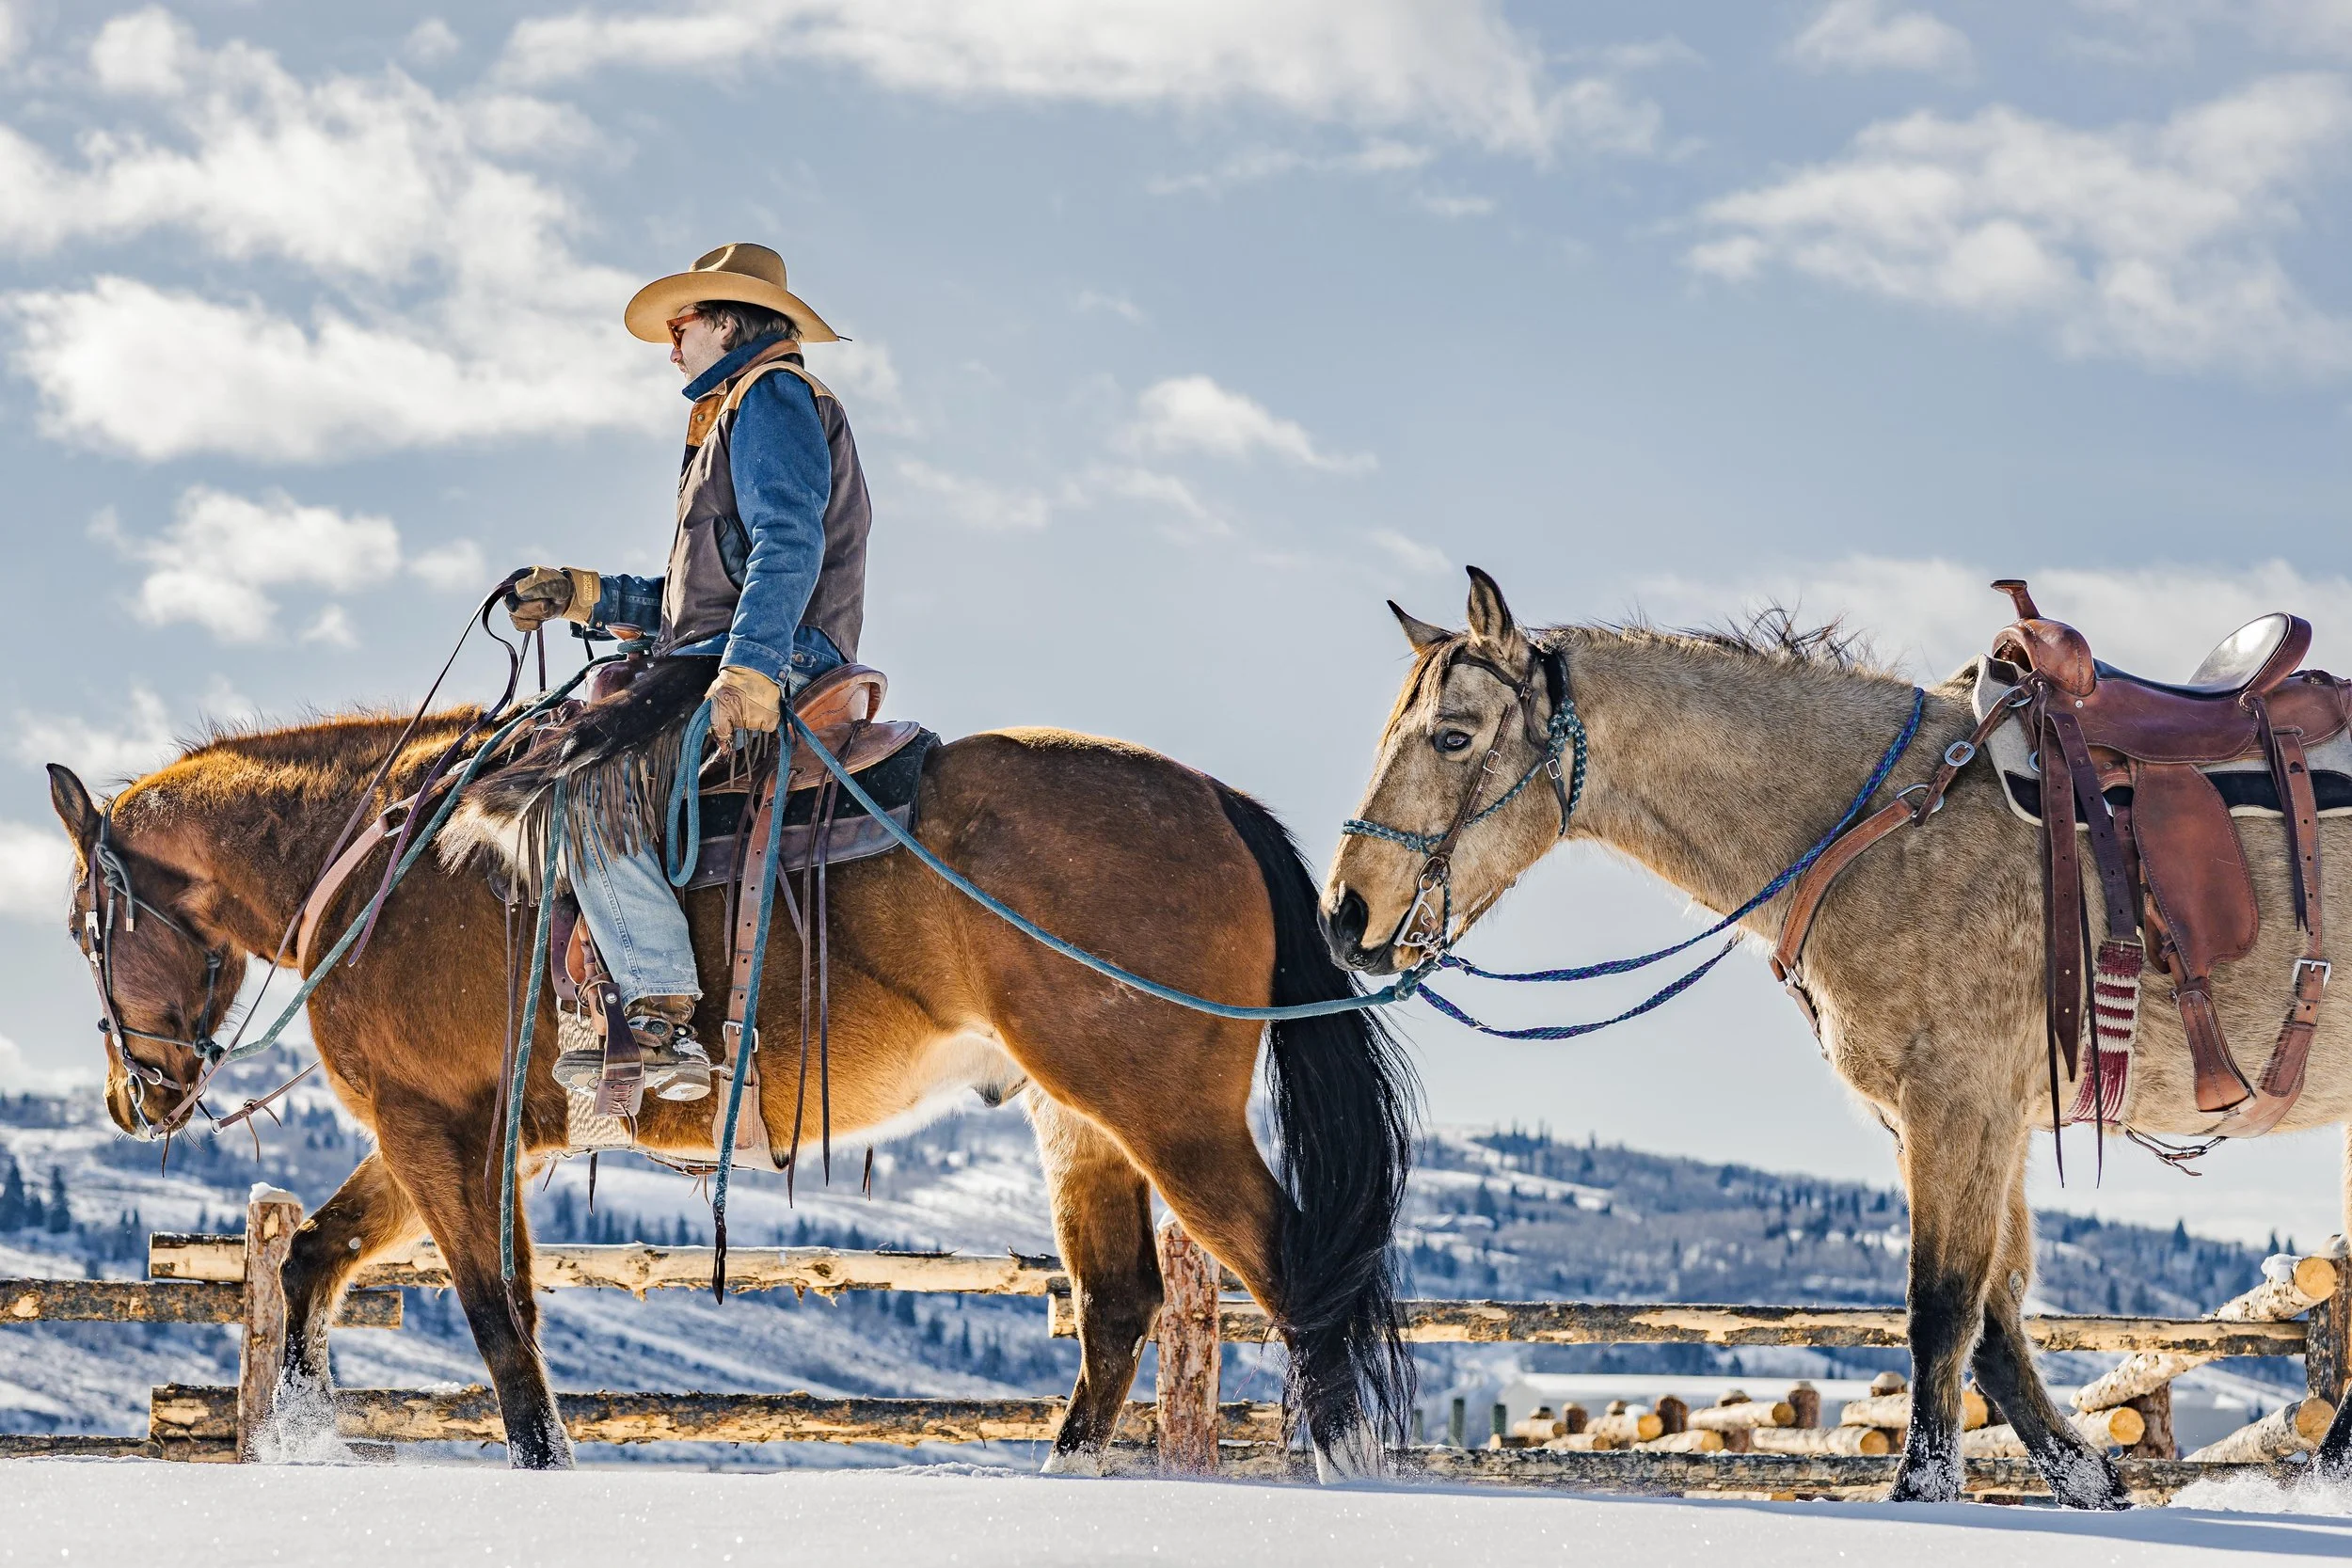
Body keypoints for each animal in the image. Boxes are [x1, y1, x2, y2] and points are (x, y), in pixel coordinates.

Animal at [46, 706, 1415, 1473]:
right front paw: (300, 1428)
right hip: (1079, 1118)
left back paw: (1343, 1467)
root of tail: (1214, 802)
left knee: (1291, 1265)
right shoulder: (450, 1131)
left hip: (1168, 1113)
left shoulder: (436, 1126)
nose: (137, 1094)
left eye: (80, 926)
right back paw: (1067, 1472)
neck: (384, 859)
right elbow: (316, 1260)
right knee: (1122, 1299)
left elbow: (495, 1312)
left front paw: (538, 1457)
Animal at [1320, 566, 2352, 1509]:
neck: (1881, 821)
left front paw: (1922, 1487)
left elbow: (1943, 1308)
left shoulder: (1959, 1103)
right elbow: (1998, 1321)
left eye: (1453, 735)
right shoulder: (1967, 1120)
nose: (1345, 913)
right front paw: (2088, 1479)